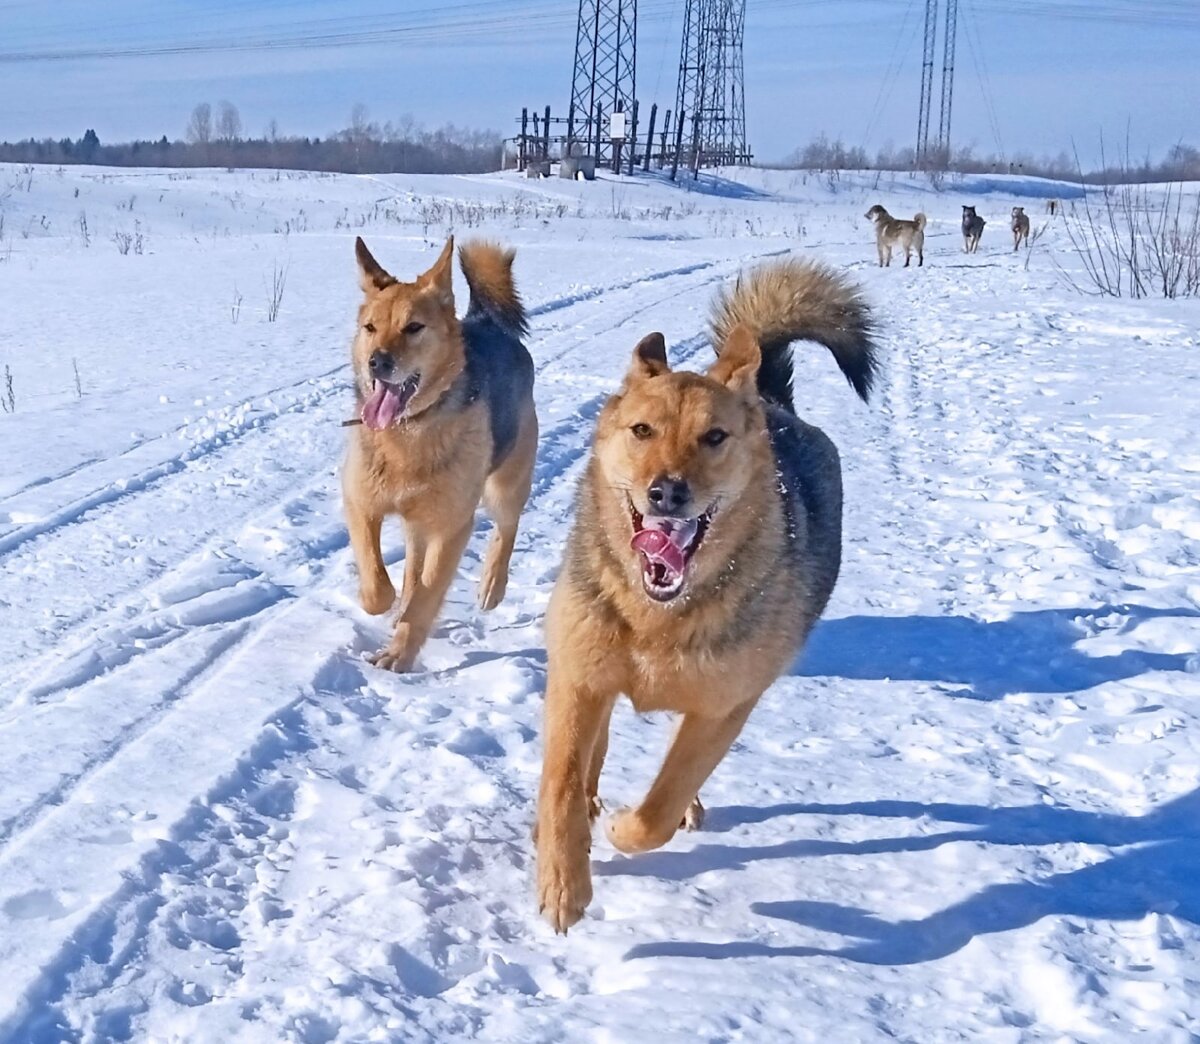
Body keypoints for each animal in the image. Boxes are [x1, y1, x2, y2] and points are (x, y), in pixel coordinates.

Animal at [343, 238, 540, 672]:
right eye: (370, 328)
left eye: (413, 327)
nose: (377, 362)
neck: (408, 431)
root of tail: (487, 321)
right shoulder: (361, 502)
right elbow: (376, 581)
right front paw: (385, 604)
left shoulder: (452, 527)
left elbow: (427, 594)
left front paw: (399, 652)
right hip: (421, 520)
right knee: (413, 564)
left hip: (505, 485)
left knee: (507, 528)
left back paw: (491, 585)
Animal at [540, 258, 878, 936]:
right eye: (642, 430)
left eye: (714, 437)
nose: (667, 492)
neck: (656, 618)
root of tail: (770, 400)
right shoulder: (579, 674)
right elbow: (563, 781)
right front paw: (564, 883)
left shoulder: (725, 707)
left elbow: (658, 810)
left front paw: (626, 826)